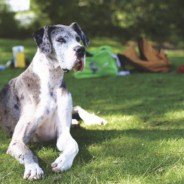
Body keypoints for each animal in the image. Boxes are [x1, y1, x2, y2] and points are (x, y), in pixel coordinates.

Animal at [0, 22, 106, 180]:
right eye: (60, 40)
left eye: (78, 39)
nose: (81, 50)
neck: (51, 81)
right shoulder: (17, 141)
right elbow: (28, 152)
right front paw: (33, 168)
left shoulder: (63, 134)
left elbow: (74, 145)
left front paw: (63, 161)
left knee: (77, 107)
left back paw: (93, 119)